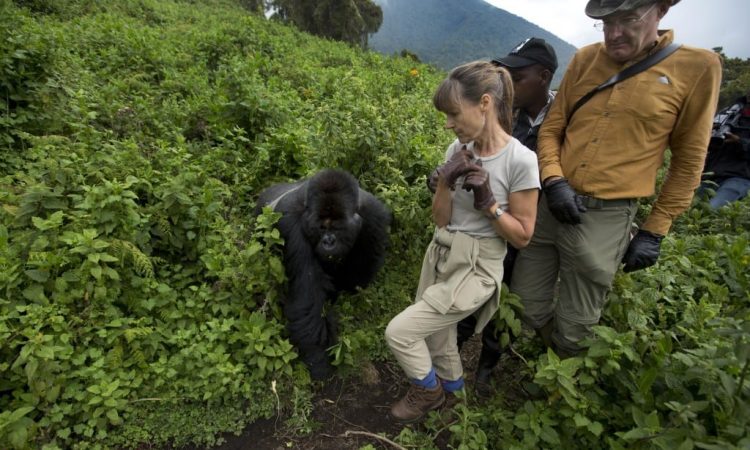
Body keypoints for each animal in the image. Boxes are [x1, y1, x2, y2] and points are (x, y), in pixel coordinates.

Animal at [256, 169, 394, 380]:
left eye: (336, 227)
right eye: (321, 228)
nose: (329, 242)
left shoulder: (374, 216)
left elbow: (360, 274)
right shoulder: (291, 224)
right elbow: (308, 297)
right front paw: (319, 359)